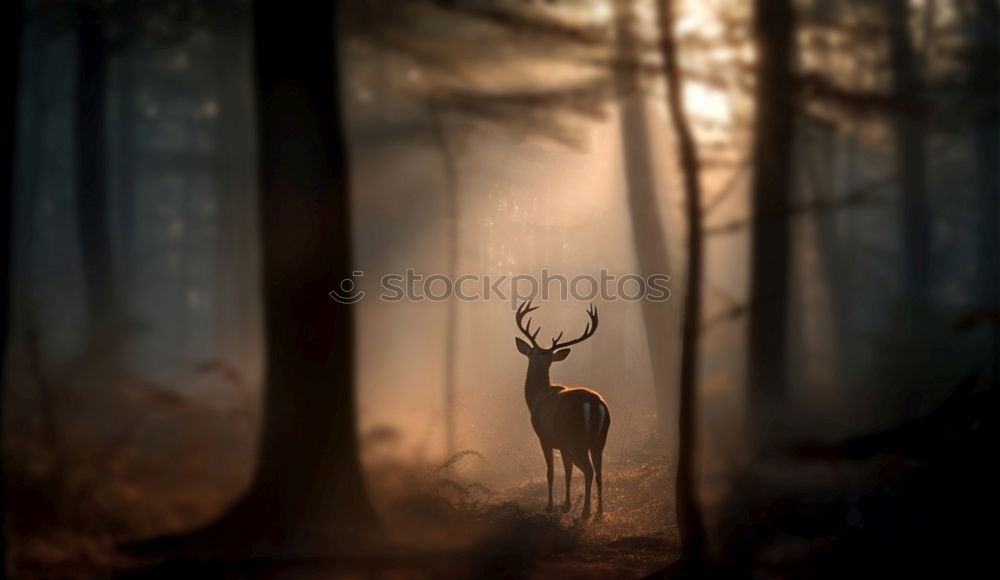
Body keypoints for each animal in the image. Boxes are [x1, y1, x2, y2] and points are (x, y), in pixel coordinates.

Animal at [516, 302, 608, 520]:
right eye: (533, 354)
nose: (536, 362)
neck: (535, 398)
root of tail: (593, 404)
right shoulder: (563, 444)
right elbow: (568, 471)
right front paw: (566, 504)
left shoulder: (545, 437)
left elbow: (551, 472)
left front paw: (551, 505)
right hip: (599, 440)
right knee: (599, 472)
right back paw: (599, 512)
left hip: (577, 437)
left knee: (589, 470)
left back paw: (586, 512)